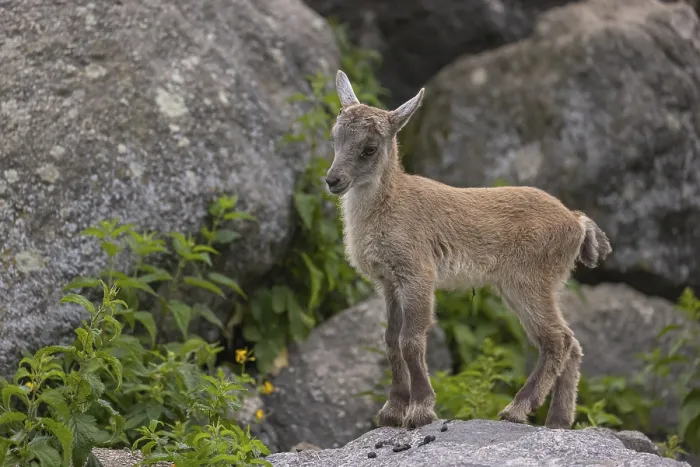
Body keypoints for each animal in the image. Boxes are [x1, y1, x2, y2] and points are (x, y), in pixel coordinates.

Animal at [324, 70, 612, 430]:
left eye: (369, 148)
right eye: (335, 137)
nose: (333, 180)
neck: (392, 204)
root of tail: (576, 222)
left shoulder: (419, 274)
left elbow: (411, 340)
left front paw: (420, 410)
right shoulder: (389, 282)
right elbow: (390, 340)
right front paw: (391, 411)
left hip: (528, 281)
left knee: (557, 340)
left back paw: (516, 409)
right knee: (570, 343)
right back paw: (558, 421)